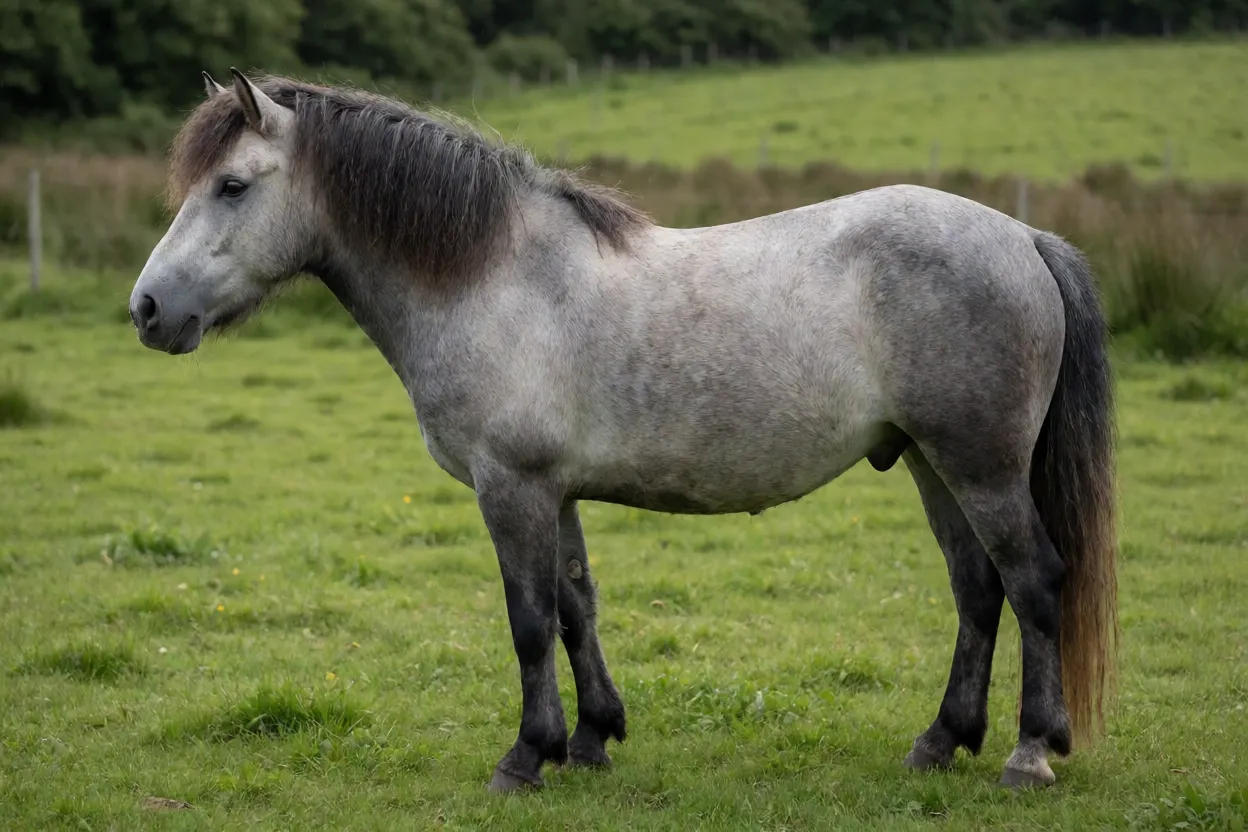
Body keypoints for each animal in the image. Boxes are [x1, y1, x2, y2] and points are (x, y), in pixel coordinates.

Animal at [129, 68, 1118, 793]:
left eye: (231, 186)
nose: (147, 310)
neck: (494, 277)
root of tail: (1024, 238)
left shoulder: (512, 488)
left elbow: (529, 620)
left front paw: (526, 757)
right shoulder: (553, 490)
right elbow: (576, 607)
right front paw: (594, 739)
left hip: (981, 467)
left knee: (1034, 582)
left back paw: (1030, 754)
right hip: (928, 463)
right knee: (977, 592)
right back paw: (940, 741)